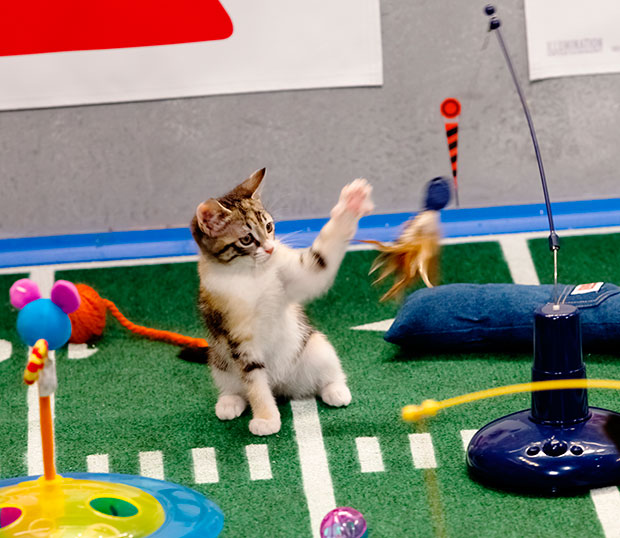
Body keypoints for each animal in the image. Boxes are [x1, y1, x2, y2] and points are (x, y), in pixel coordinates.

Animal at [189, 169, 372, 436]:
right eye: (246, 239)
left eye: (269, 226)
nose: (270, 248)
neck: (251, 275)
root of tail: (280, 385)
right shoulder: (237, 337)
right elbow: (254, 382)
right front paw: (267, 418)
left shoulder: (296, 273)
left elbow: (320, 261)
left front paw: (352, 203)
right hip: (219, 359)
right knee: (239, 386)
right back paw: (229, 402)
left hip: (315, 346)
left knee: (327, 373)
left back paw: (335, 389)